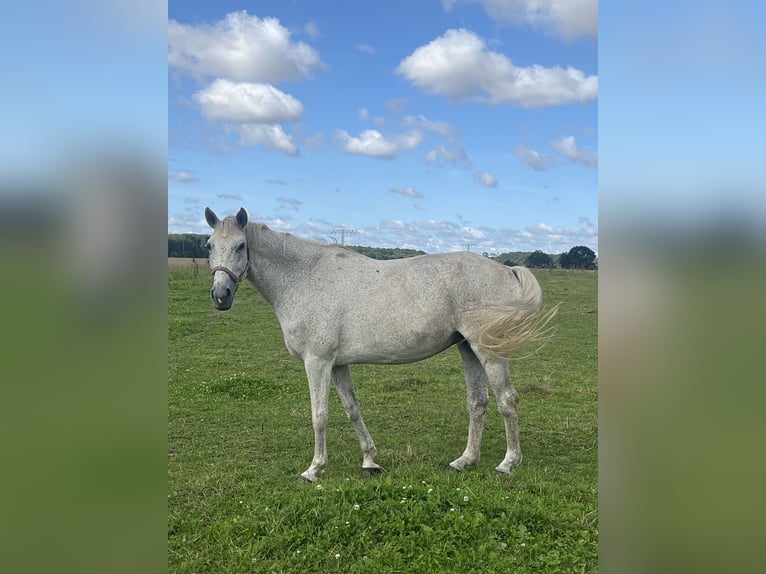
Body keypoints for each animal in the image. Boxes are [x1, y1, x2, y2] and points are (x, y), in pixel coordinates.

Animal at [204, 207, 556, 482]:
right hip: (468, 348)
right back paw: (464, 461)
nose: (221, 295)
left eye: (240, 245)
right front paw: (369, 460)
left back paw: (508, 463)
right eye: (209, 246)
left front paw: (314, 469)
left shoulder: (317, 361)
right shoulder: (338, 364)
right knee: (478, 403)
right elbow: (352, 409)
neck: (305, 278)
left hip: (489, 352)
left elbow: (320, 415)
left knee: (507, 400)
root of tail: (506, 269)